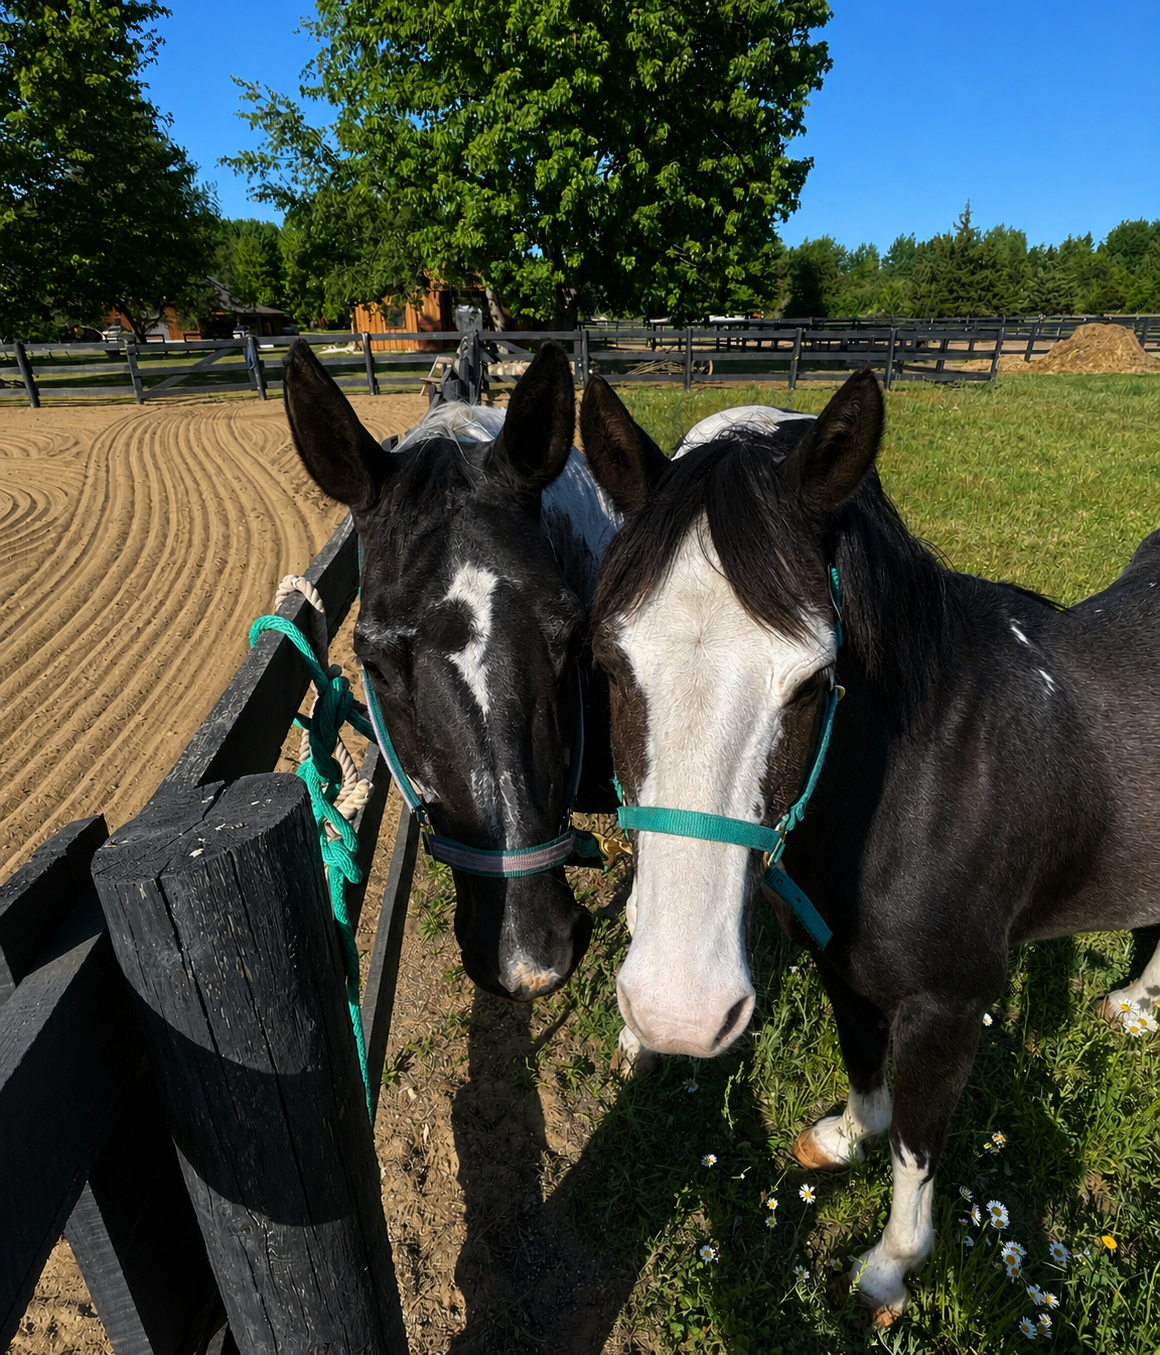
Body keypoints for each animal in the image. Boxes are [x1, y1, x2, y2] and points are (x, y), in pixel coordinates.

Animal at [583, 366, 1160, 1324]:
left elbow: (918, 1150)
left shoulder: (949, 1009)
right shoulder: (839, 964)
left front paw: (888, 1267)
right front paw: (844, 1138)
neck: (927, 783)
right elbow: (866, 1074)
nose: (677, 1012)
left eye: (816, 680)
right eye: (607, 663)